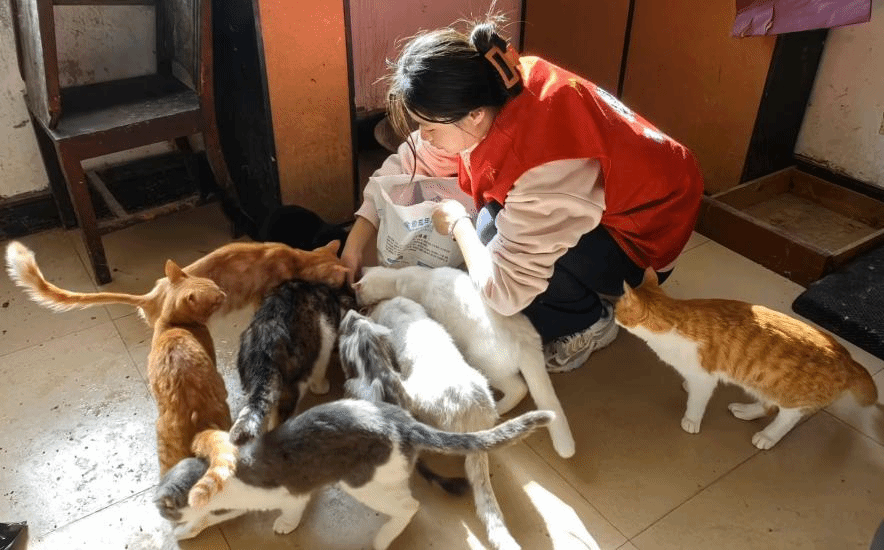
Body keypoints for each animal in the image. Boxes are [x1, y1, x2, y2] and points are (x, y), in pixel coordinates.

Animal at [154, 399, 553, 549]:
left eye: (163, 509)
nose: (161, 515)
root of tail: (403, 421)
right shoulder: (234, 503)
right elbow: (210, 517)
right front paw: (190, 530)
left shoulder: (289, 491)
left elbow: (293, 507)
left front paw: (286, 524)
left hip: (363, 482)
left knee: (410, 506)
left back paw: (384, 537)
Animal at [229, 280, 356, 445]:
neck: (333, 295)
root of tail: (265, 346)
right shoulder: (325, 340)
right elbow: (320, 369)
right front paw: (321, 387)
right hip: (296, 382)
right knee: (279, 417)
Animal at [353, 265, 576, 459]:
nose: (357, 302)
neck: (399, 278)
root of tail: (526, 342)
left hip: (487, 366)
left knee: (520, 388)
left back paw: (499, 408)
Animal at [614, 267, 880, 449]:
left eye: (617, 307)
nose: (614, 315)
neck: (672, 323)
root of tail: (849, 359)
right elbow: (691, 385)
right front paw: (686, 385)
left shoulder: (705, 378)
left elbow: (697, 402)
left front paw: (691, 420)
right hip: (763, 382)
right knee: (768, 405)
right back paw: (745, 410)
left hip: (790, 395)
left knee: (786, 418)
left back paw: (767, 437)